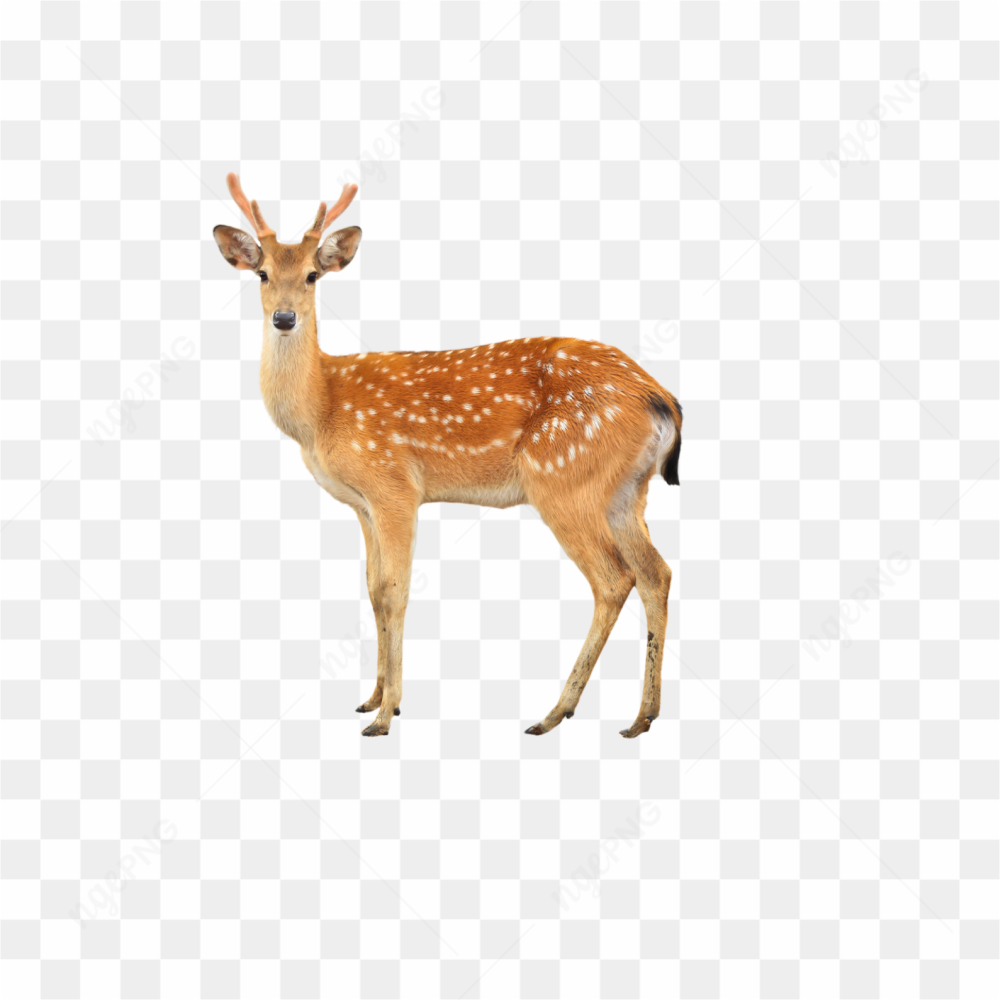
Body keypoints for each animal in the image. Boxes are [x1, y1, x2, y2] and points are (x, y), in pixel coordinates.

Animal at [213, 173, 682, 738]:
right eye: (261, 273)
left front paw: (387, 715)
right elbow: (372, 590)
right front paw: (372, 698)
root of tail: (659, 396)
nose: (284, 318)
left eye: (311, 276)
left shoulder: (394, 486)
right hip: (627, 490)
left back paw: (554, 713)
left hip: (562, 477)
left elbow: (394, 590)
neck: (322, 407)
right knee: (657, 572)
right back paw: (642, 716)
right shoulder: (363, 504)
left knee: (615, 578)